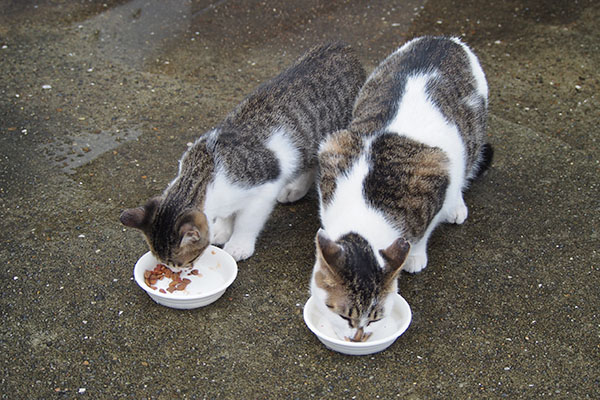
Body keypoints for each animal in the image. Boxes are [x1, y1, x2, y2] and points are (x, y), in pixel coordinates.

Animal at [121, 43, 366, 262]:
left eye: (182, 262)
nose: (176, 271)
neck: (203, 171)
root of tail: (345, 48)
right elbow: (228, 214)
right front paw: (222, 229)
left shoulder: (263, 191)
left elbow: (247, 222)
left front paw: (238, 244)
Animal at [310, 36, 492, 340]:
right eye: (344, 316)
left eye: (375, 319)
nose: (357, 338)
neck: (365, 212)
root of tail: (444, 39)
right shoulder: (332, 153)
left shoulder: (436, 176)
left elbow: (422, 233)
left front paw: (415, 256)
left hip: (471, 136)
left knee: (466, 166)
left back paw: (456, 206)